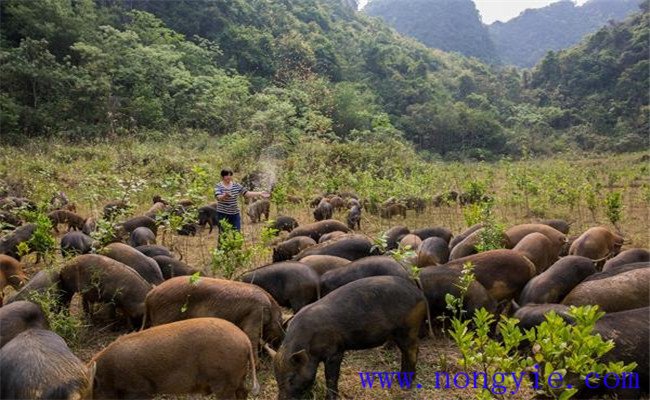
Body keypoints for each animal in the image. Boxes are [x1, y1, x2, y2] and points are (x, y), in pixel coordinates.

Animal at [146, 278, 282, 354]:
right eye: (281, 324)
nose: (279, 343)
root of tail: (150, 294)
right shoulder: (255, 316)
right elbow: (251, 337)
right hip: (164, 316)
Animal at [272, 276, 426, 400]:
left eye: (291, 378)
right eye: (277, 378)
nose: (281, 398)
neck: (309, 345)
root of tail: (418, 292)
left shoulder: (335, 351)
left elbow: (331, 376)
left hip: (408, 328)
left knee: (412, 350)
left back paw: (404, 383)